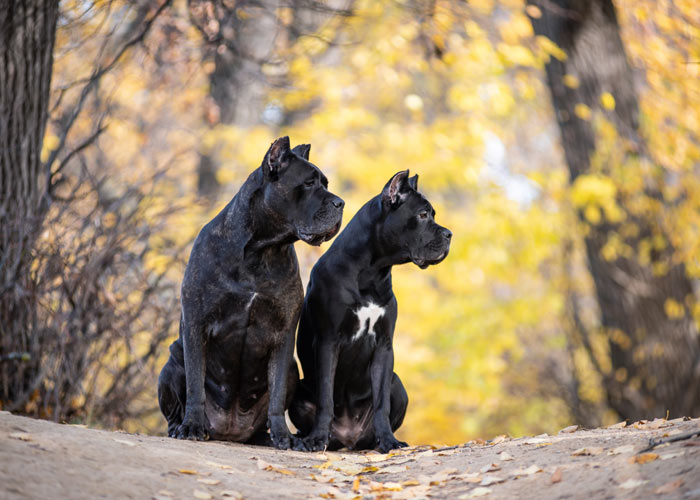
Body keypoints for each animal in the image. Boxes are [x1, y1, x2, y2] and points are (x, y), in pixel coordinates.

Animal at [159, 137, 344, 450]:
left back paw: (267, 437)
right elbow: (195, 383)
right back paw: (180, 427)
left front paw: (283, 436)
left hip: (292, 369)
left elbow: (277, 392)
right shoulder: (197, 324)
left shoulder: (283, 335)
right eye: (308, 183)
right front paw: (191, 425)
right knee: (176, 402)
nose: (340, 203)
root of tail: (229, 431)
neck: (261, 250)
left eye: (325, 184)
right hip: (172, 362)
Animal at [288, 169, 448, 454]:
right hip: (298, 390)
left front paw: (389, 441)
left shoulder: (384, 345)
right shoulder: (328, 342)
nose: (450, 234)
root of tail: (348, 439)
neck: (372, 270)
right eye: (422, 215)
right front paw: (317, 439)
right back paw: (309, 438)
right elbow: (326, 397)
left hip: (398, 384)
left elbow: (381, 402)